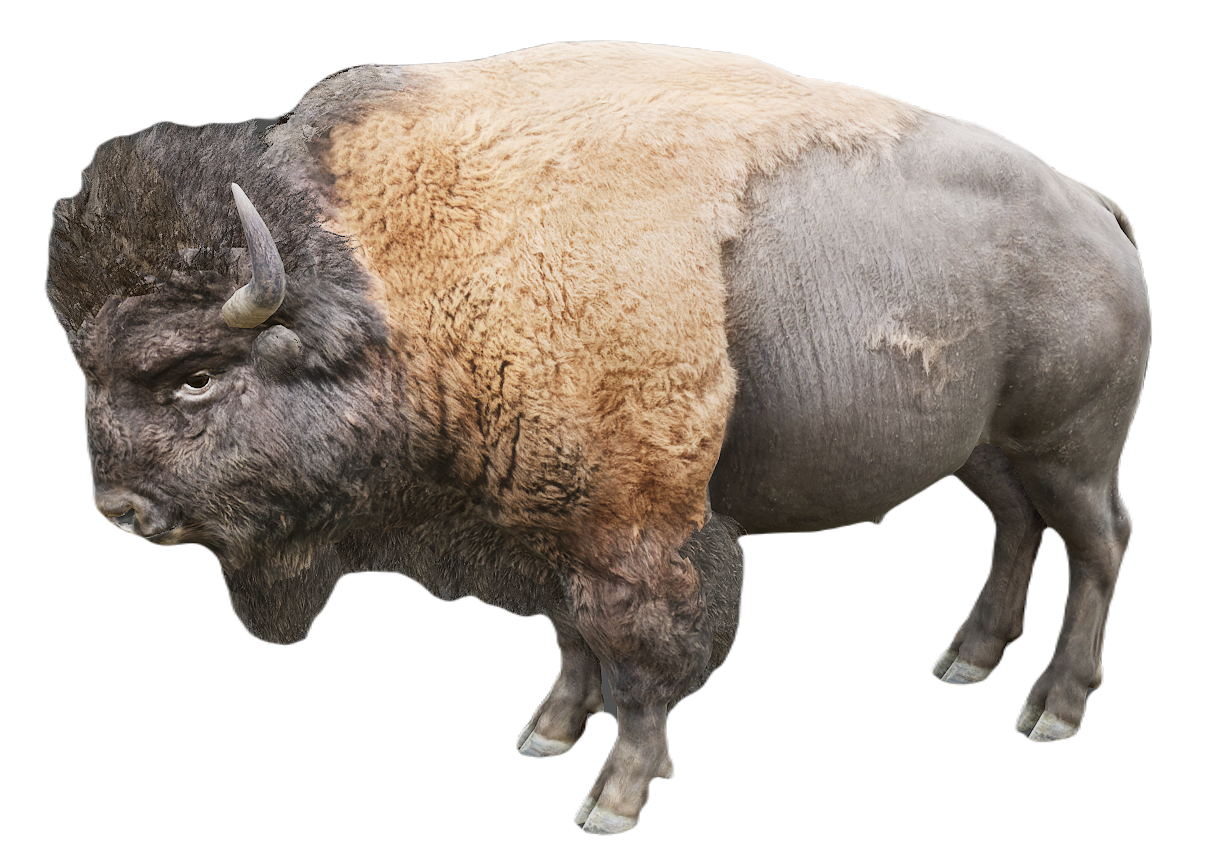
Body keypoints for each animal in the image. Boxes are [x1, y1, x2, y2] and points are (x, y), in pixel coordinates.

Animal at [45, 43, 1150, 834]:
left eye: (193, 377)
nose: (120, 511)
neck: (395, 284)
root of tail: (1095, 206)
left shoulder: (632, 526)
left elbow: (636, 652)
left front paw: (615, 795)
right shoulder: (544, 523)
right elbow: (571, 639)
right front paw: (546, 735)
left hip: (1072, 448)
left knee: (1100, 544)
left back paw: (1052, 706)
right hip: (987, 450)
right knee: (1016, 530)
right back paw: (966, 658)